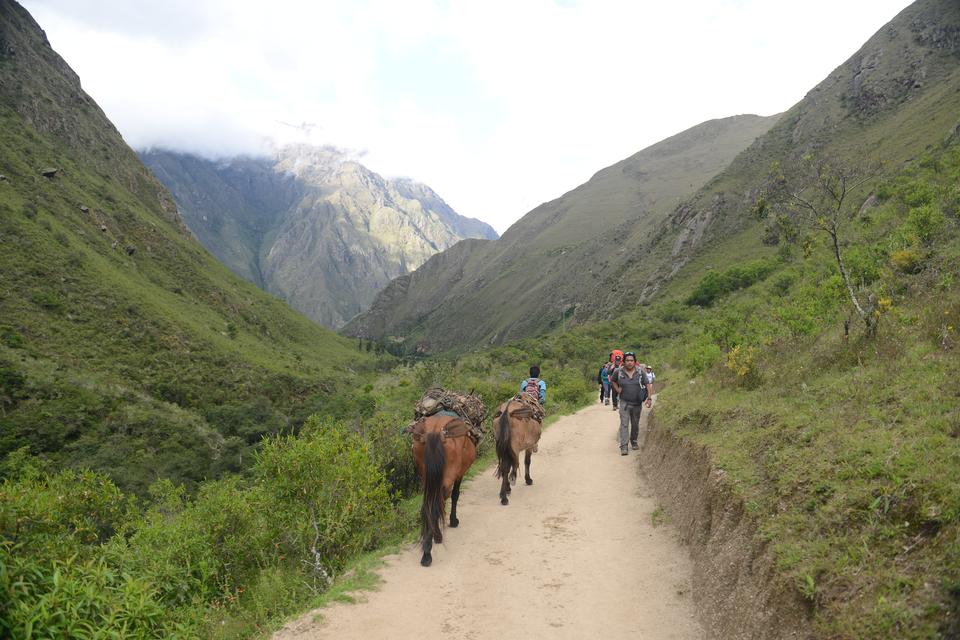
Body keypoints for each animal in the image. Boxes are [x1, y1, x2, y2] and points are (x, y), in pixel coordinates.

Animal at [408, 416, 476, 564]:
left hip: (426, 475)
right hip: (448, 476)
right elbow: (455, 495)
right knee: (437, 503)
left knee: (429, 504)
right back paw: (428, 552)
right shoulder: (459, 474)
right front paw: (453, 520)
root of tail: (434, 432)